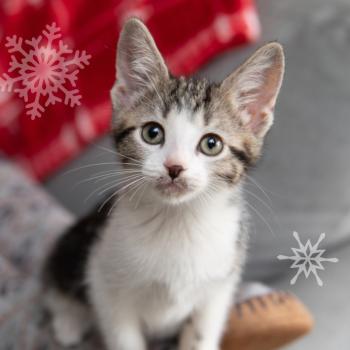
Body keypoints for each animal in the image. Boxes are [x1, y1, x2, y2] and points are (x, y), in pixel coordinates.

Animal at [43, 18, 284, 350]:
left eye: (211, 144)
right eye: (152, 133)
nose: (174, 167)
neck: (177, 221)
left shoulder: (217, 290)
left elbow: (201, 335)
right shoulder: (105, 284)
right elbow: (123, 337)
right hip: (77, 242)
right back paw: (68, 322)